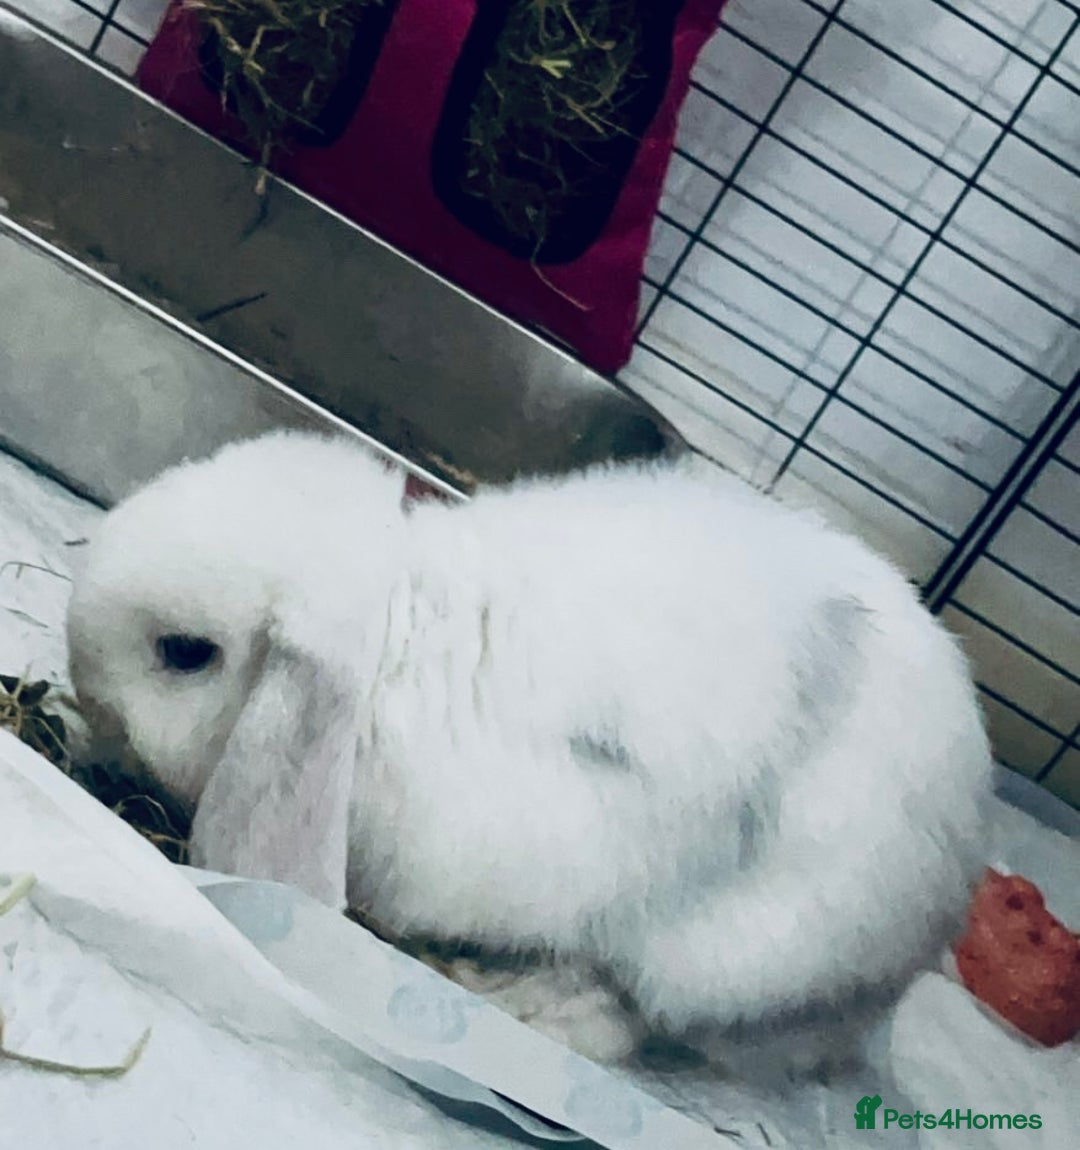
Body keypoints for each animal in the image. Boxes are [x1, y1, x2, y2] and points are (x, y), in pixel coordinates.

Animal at [66, 430, 993, 1067]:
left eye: (185, 652)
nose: (89, 706)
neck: (391, 642)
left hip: (728, 951)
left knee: (627, 1010)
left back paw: (507, 996)